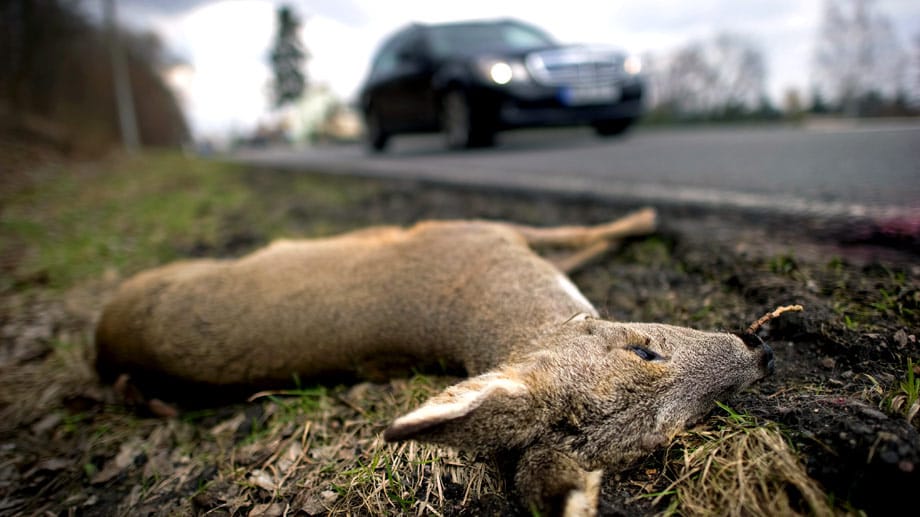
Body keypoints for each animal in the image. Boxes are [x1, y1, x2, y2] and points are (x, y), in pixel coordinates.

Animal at [93, 208, 772, 512]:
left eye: (674, 431)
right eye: (643, 348)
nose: (759, 352)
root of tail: (104, 340)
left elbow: (578, 244)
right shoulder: (472, 226)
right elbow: (580, 233)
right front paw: (650, 219)